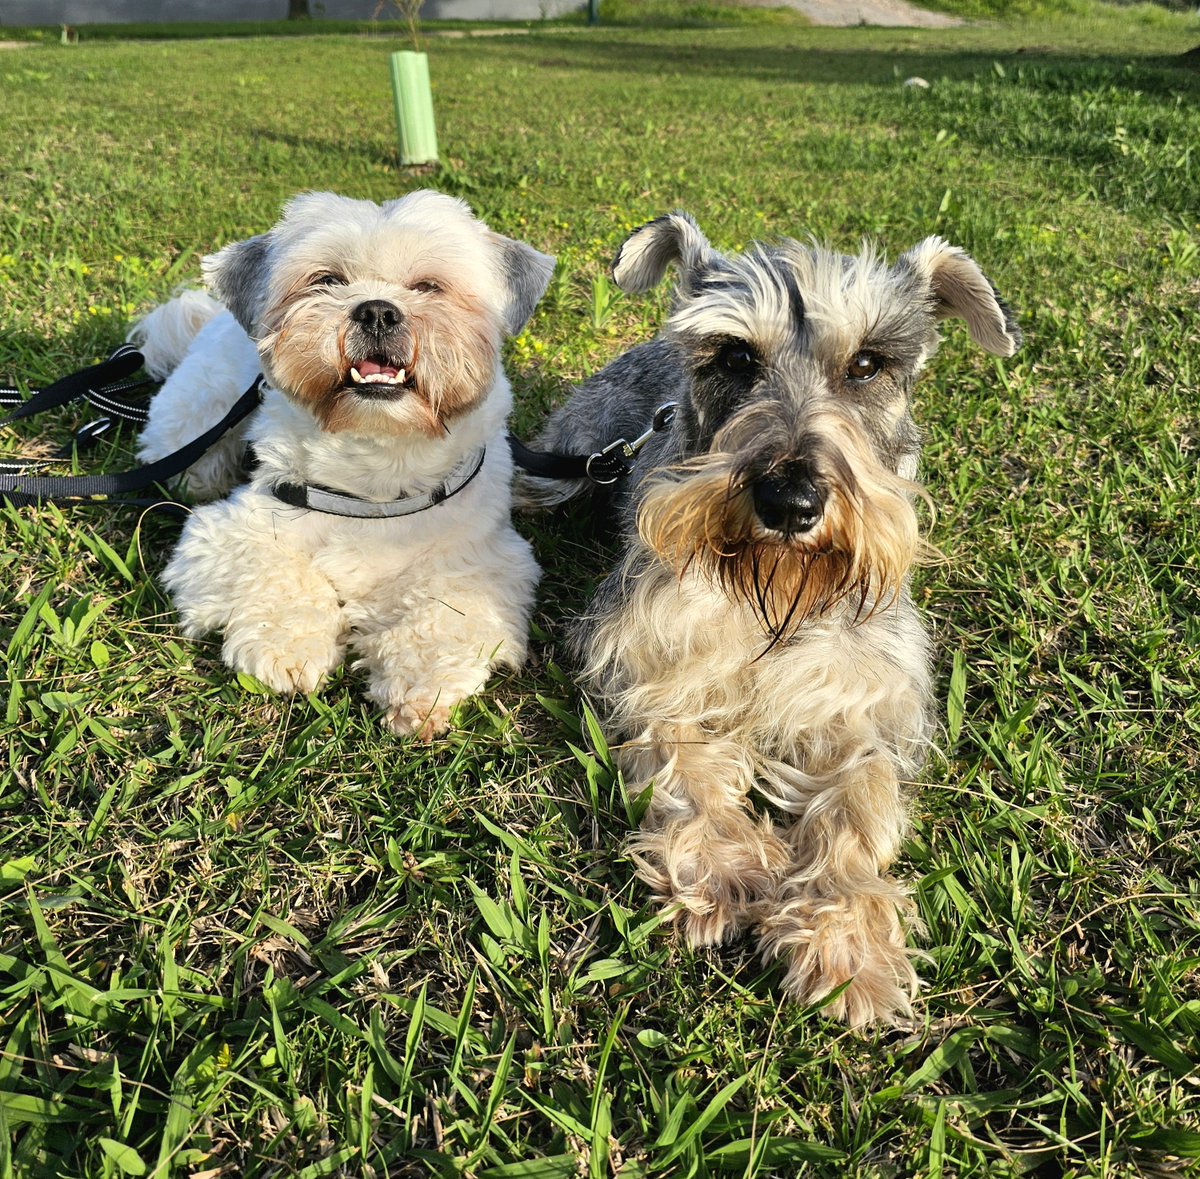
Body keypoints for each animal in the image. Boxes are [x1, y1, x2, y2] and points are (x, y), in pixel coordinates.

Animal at [136, 188, 552, 734]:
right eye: (327, 280)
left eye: (428, 286)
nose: (377, 311)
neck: (375, 461)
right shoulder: (227, 532)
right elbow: (274, 574)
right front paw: (289, 649)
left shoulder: (480, 558)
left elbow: (444, 612)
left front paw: (419, 688)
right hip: (196, 419)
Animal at [528, 212, 1022, 1022]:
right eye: (734, 356)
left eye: (867, 364)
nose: (790, 502)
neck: (776, 593)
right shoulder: (649, 666)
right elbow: (683, 758)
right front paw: (724, 868)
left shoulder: (860, 702)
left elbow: (859, 803)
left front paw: (847, 939)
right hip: (561, 466)